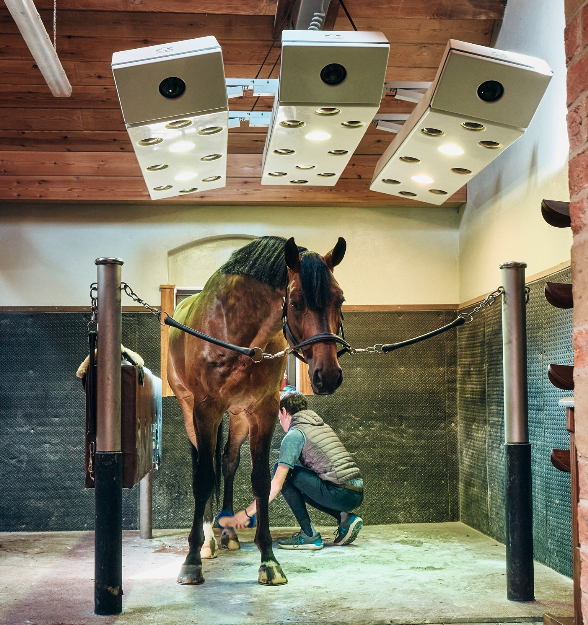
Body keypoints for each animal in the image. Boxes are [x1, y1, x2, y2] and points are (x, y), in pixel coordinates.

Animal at [168, 235, 346, 584]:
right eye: (296, 302)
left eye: (340, 300)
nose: (328, 374)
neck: (235, 333)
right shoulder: (205, 408)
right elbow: (203, 477)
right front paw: (192, 559)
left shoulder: (262, 410)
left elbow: (262, 480)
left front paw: (268, 560)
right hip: (189, 409)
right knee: (202, 465)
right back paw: (208, 540)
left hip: (238, 416)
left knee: (228, 461)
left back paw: (228, 534)